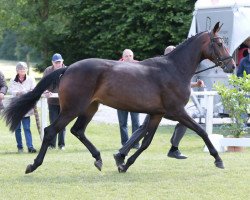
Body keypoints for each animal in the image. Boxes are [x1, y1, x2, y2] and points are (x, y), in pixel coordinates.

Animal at [3, 21, 234, 173]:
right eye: (219, 43)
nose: (231, 65)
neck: (174, 69)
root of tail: (67, 69)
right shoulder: (176, 112)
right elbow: (202, 131)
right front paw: (218, 159)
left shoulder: (157, 114)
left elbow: (145, 142)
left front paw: (124, 163)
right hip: (72, 108)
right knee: (52, 131)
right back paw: (33, 165)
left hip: (90, 107)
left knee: (78, 131)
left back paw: (98, 159)